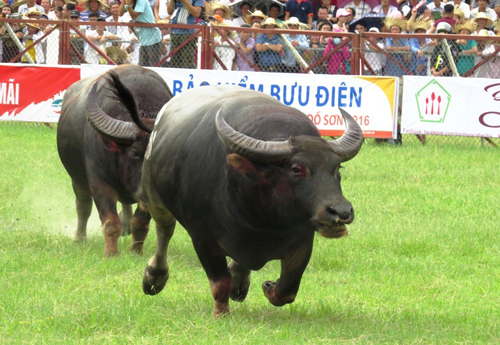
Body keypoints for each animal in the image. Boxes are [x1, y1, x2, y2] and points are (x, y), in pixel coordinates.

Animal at [56, 63, 173, 255]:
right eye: (135, 153)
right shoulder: (100, 184)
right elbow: (110, 223)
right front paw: (111, 253)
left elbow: (140, 223)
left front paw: (136, 252)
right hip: (77, 179)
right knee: (83, 207)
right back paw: (80, 238)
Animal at [141, 84, 364, 314]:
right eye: (296, 169)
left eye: (337, 168)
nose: (341, 211)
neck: (263, 220)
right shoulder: (202, 237)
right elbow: (220, 283)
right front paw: (221, 313)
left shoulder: (302, 239)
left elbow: (287, 290)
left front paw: (268, 286)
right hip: (153, 195)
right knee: (165, 229)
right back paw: (154, 277)